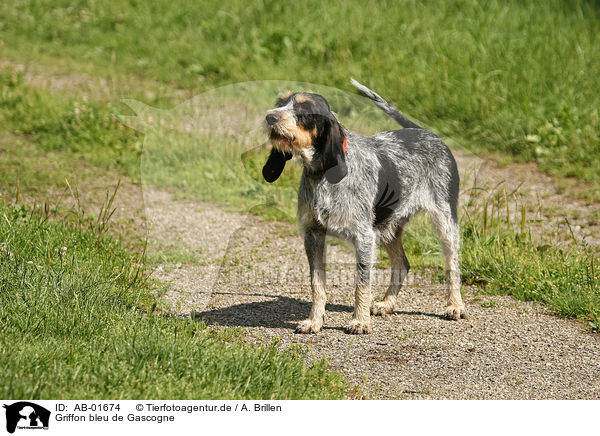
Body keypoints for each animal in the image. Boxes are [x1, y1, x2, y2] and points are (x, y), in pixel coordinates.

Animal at [260, 79, 466, 334]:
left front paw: (360, 320)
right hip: (388, 226)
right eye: (280, 103)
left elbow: (361, 284)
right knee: (402, 264)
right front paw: (314, 321)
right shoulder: (313, 235)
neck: (322, 175)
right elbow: (317, 285)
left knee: (452, 266)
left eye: (305, 109)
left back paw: (455, 305)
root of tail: (424, 131)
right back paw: (387, 303)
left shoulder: (364, 237)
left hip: (445, 221)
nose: (270, 117)